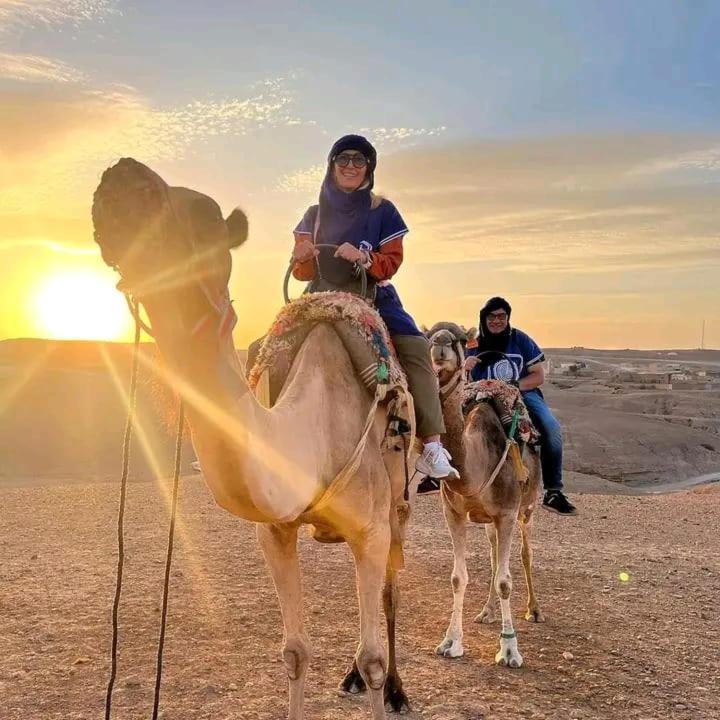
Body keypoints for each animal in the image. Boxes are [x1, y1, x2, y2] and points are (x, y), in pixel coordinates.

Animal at [92, 158, 416, 719]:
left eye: (205, 219)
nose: (122, 176)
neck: (314, 428)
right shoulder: (275, 529)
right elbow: (294, 652)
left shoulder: (370, 529)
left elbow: (373, 653)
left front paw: (382, 682)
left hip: (398, 501)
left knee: (391, 591)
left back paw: (395, 688)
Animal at [425, 323, 544, 668]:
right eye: (428, 336)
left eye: (461, 340)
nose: (440, 345)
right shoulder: (453, 513)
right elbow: (458, 577)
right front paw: (451, 642)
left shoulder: (507, 512)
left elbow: (506, 580)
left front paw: (509, 650)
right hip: (491, 520)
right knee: (492, 555)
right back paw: (487, 612)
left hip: (526, 509)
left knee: (526, 553)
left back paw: (533, 609)